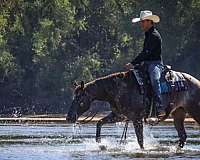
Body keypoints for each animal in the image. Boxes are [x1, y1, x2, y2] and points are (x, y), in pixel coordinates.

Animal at [66, 69, 199, 149]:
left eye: (79, 98)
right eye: (73, 97)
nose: (69, 117)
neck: (117, 89)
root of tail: (197, 82)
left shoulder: (137, 119)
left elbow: (140, 141)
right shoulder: (119, 116)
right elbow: (99, 123)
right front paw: (99, 142)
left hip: (195, 111)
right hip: (178, 113)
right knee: (182, 136)